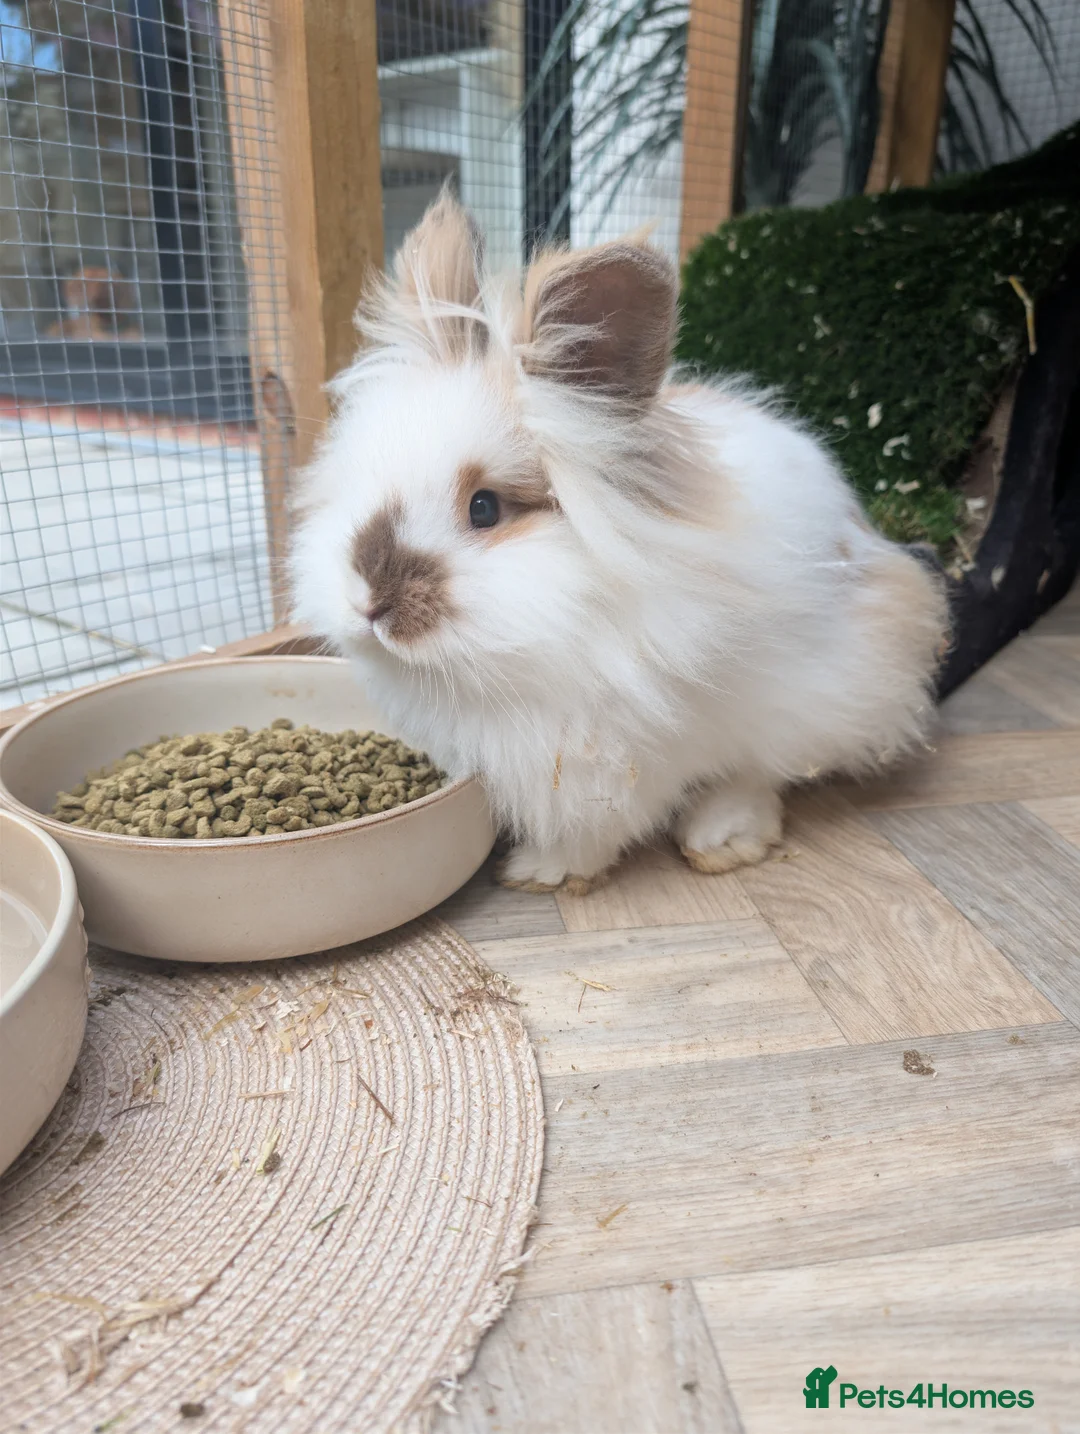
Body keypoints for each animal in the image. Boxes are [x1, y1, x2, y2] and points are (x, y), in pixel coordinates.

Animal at [290, 191, 949, 893]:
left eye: (484, 508)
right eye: (361, 476)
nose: (368, 603)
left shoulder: (610, 760)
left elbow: (597, 827)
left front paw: (541, 870)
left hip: (823, 687)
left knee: (763, 769)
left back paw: (721, 835)